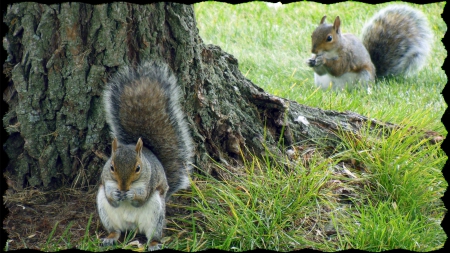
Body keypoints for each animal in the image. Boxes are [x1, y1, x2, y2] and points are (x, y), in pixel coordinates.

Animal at [96, 60, 194, 249]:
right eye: (111, 167)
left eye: (138, 168)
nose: (123, 188)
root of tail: (132, 226)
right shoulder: (105, 180)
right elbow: (110, 197)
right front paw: (116, 195)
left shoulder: (149, 182)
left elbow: (141, 198)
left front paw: (131, 195)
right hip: (105, 212)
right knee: (115, 230)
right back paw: (110, 237)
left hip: (155, 213)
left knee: (153, 234)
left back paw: (154, 243)